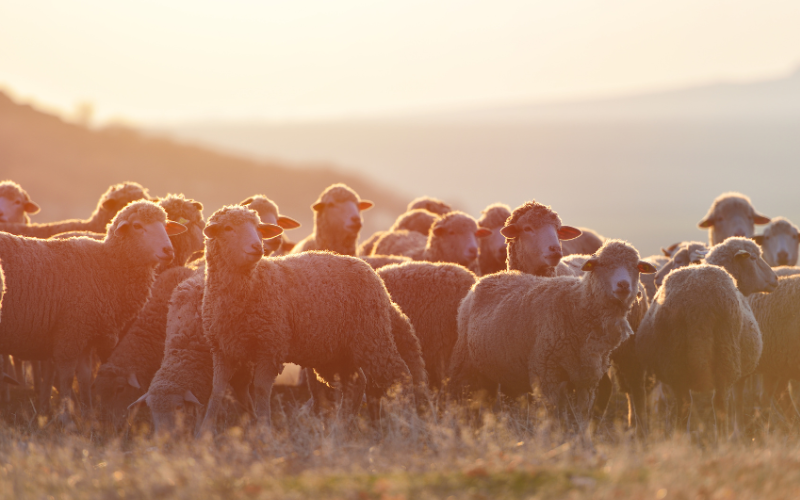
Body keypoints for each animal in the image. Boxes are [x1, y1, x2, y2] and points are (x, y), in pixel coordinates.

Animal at [450, 239, 656, 426]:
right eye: (603, 265)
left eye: (636, 267)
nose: (623, 285)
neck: (578, 307)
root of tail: (489, 277)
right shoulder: (547, 375)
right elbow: (555, 417)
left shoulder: (586, 379)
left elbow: (581, 416)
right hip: (467, 363)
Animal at [636, 236, 776, 436]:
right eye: (754, 258)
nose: (775, 279)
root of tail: (698, 308)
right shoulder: (741, 372)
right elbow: (738, 401)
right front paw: (739, 431)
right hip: (726, 357)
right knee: (720, 405)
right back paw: (723, 438)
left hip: (675, 362)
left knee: (684, 404)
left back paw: (681, 437)